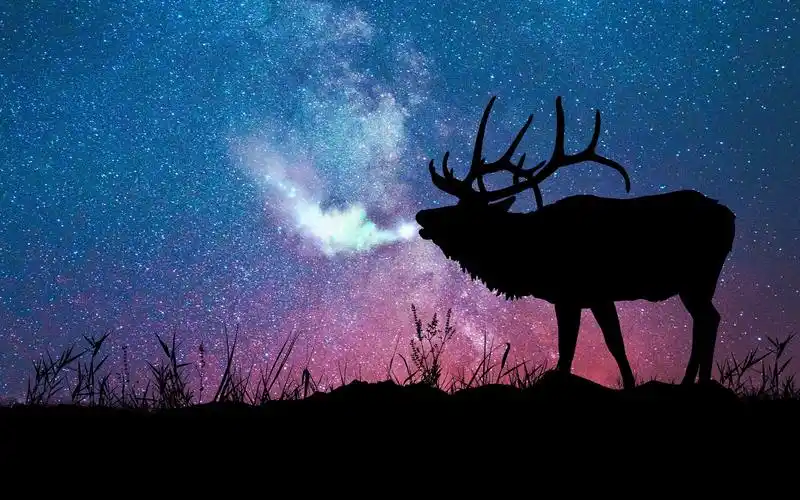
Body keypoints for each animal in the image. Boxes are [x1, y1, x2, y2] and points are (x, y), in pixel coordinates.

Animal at [415, 95, 736, 390]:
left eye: (464, 213)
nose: (422, 215)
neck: (525, 255)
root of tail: (731, 218)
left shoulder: (582, 292)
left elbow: (584, 347)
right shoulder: (582, 297)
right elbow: (592, 345)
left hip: (698, 278)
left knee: (708, 320)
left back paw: (694, 382)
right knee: (708, 319)